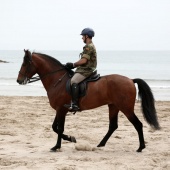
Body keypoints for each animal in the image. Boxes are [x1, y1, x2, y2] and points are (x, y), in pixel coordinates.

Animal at [16, 49, 160, 153]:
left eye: (25, 64)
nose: (18, 80)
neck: (57, 80)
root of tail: (130, 80)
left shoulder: (61, 109)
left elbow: (59, 128)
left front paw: (58, 146)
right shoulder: (59, 110)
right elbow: (54, 127)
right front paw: (70, 138)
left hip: (126, 108)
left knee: (138, 124)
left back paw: (140, 147)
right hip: (113, 106)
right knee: (113, 126)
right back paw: (101, 144)